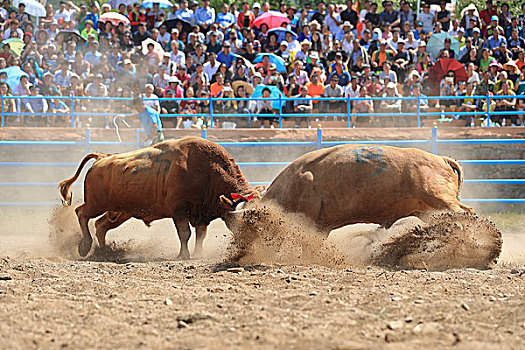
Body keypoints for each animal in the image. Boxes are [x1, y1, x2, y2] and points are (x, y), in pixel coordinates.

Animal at [59, 137, 260, 258]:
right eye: (246, 220)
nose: (256, 243)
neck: (206, 170)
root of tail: (102, 157)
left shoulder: (201, 214)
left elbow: (200, 235)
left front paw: (198, 255)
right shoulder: (179, 210)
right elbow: (185, 233)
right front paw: (183, 256)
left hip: (120, 211)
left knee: (101, 225)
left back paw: (104, 251)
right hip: (97, 203)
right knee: (81, 213)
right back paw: (85, 246)